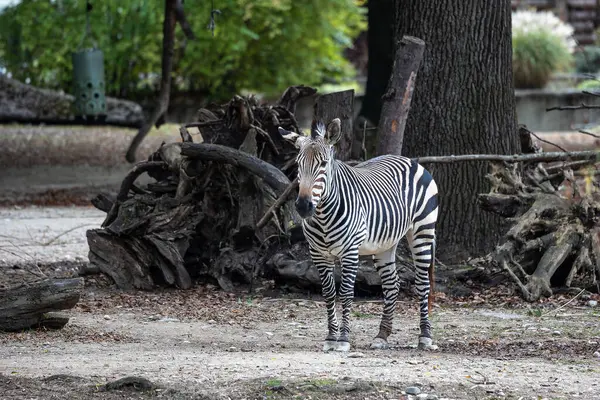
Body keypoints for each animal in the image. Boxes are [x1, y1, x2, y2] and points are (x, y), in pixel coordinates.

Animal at [278, 117, 438, 352]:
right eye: (299, 165)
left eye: (323, 164)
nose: (303, 206)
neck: (323, 216)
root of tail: (410, 160)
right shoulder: (318, 254)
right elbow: (328, 293)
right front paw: (330, 338)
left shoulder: (349, 252)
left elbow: (345, 292)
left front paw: (343, 339)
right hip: (385, 243)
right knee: (392, 284)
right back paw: (382, 336)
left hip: (422, 232)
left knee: (422, 283)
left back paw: (425, 337)